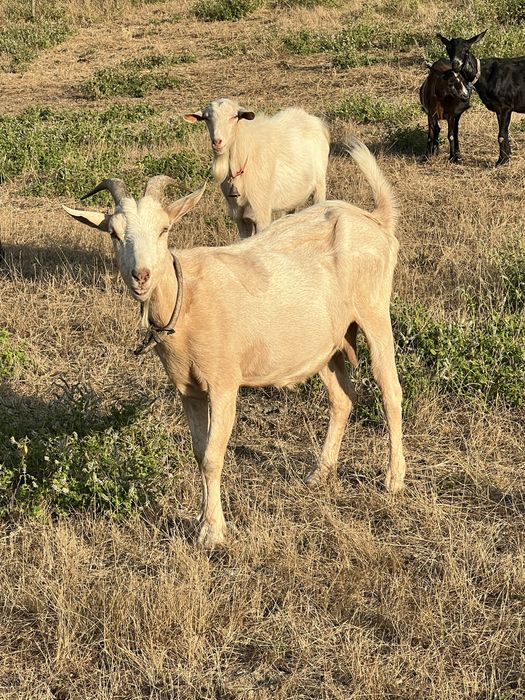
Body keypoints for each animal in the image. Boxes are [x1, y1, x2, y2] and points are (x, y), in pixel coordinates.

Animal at [63, 138, 406, 548]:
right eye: (114, 234)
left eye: (164, 229)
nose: (140, 275)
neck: (186, 300)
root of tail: (376, 219)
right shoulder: (188, 389)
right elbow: (199, 453)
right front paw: (201, 519)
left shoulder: (223, 382)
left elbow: (213, 455)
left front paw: (212, 532)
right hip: (328, 341)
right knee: (342, 398)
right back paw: (320, 473)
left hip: (374, 311)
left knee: (390, 390)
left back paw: (394, 479)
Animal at [183, 98, 330, 238]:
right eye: (206, 118)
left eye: (234, 116)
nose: (217, 142)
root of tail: (311, 119)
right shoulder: (239, 218)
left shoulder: (261, 212)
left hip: (319, 186)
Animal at [438, 31, 525, 165]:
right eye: (448, 48)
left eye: (466, 49)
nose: (456, 64)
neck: (484, 74)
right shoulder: (499, 109)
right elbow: (504, 133)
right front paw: (506, 157)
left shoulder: (505, 106)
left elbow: (501, 135)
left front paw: (500, 161)